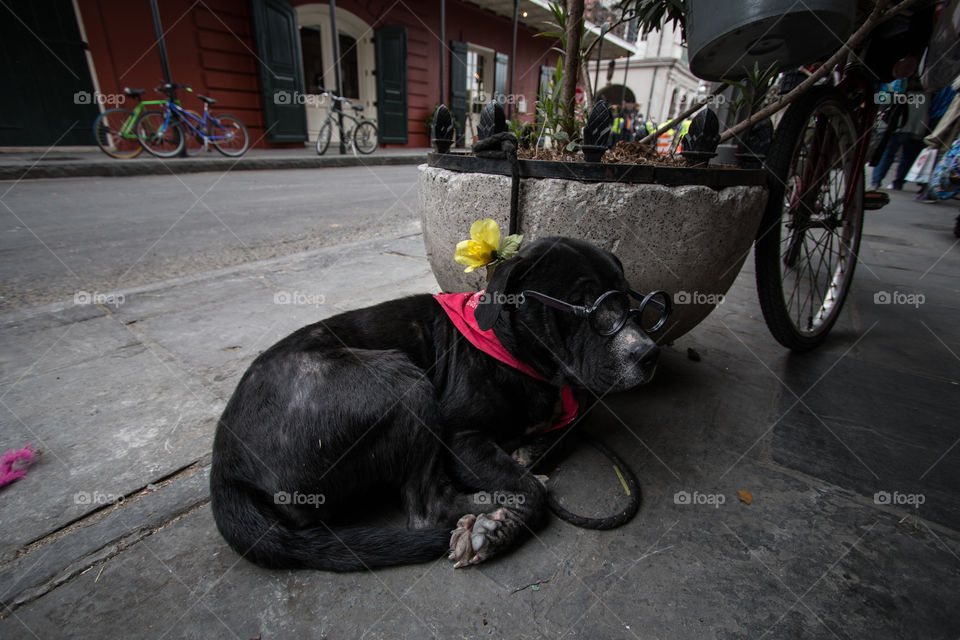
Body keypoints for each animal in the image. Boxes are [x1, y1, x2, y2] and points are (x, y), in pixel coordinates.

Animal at [209, 236, 664, 568]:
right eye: (586, 305)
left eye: (630, 301)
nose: (649, 354)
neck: (514, 352)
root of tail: (225, 464)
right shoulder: (459, 436)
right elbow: (526, 486)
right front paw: (497, 525)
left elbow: (563, 430)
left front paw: (526, 452)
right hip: (401, 382)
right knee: (428, 509)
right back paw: (490, 514)